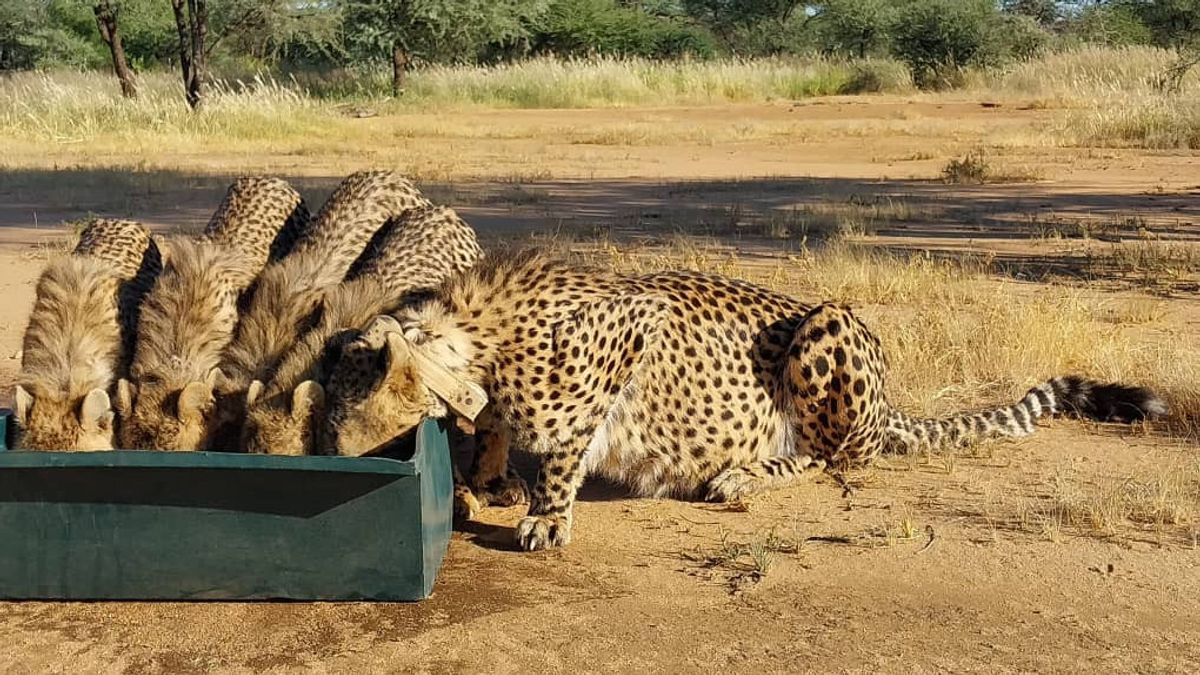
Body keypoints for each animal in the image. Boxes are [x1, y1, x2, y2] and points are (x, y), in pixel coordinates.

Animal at [324, 249, 1166, 550]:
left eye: (351, 401)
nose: (330, 449)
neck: (484, 336)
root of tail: (890, 402)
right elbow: (501, 426)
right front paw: (489, 475)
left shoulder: (634, 327)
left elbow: (563, 446)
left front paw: (545, 514)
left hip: (827, 325)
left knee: (836, 457)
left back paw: (743, 472)